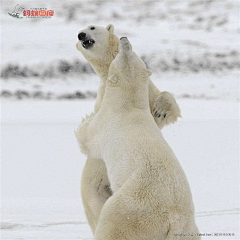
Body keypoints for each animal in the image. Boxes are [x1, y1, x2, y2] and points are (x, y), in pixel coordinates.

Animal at [76, 37, 199, 240]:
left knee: (111, 223)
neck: (128, 107)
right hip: (188, 229)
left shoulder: (104, 124)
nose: (124, 39)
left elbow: (87, 137)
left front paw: (85, 120)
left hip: (132, 208)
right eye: (133, 53)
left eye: (122, 54)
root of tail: (174, 220)